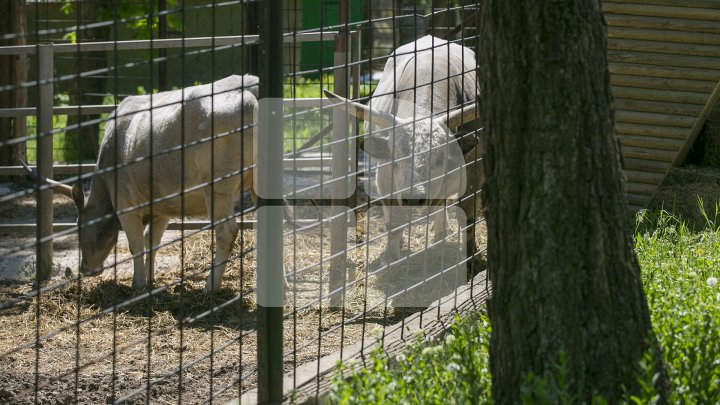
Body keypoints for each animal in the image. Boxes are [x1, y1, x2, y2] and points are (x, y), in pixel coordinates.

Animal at [324, 36, 480, 272]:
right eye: (397, 158)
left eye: (440, 158)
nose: (413, 197)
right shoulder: (384, 179)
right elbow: (395, 222)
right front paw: (390, 259)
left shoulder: (473, 172)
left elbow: (467, 217)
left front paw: (470, 258)